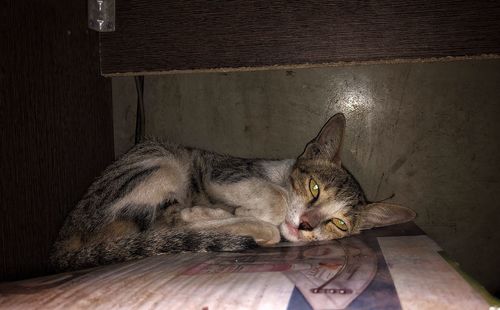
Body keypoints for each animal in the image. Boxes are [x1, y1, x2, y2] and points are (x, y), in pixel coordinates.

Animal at [50, 112, 416, 270]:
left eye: (339, 224)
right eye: (314, 188)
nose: (306, 225)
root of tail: (62, 241)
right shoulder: (222, 169)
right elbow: (276, 199)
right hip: (163, 159)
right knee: (161, 223)